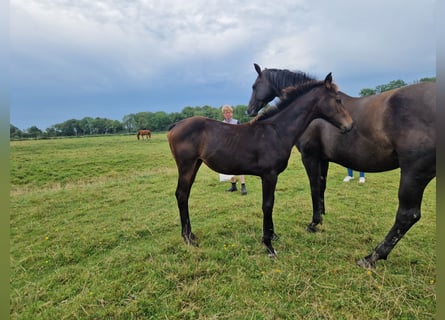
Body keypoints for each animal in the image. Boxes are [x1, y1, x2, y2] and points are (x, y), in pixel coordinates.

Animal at [168, 74, 352, 256]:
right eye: (337, 100)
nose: (349, 125)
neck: (277, 131)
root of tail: (176, 125)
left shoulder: (271, 176)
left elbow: (270, 203)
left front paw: (272, 236)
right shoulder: (269, 175)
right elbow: (268, 205)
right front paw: (269, 245)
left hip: (195, 164)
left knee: (185, 194)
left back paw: (191, 235)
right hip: (186, 165)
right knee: (181, 194)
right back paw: (188, 239)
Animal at [245, 62, 436, 268]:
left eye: (254, 86)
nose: (249, 110)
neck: (315, 113)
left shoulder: (310, 157)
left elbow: (314, 187)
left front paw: (314, 223)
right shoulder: (323, 159)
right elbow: (321, 187)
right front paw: (321, 216)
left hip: (413, 174)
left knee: (407, 215)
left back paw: (372, 256)